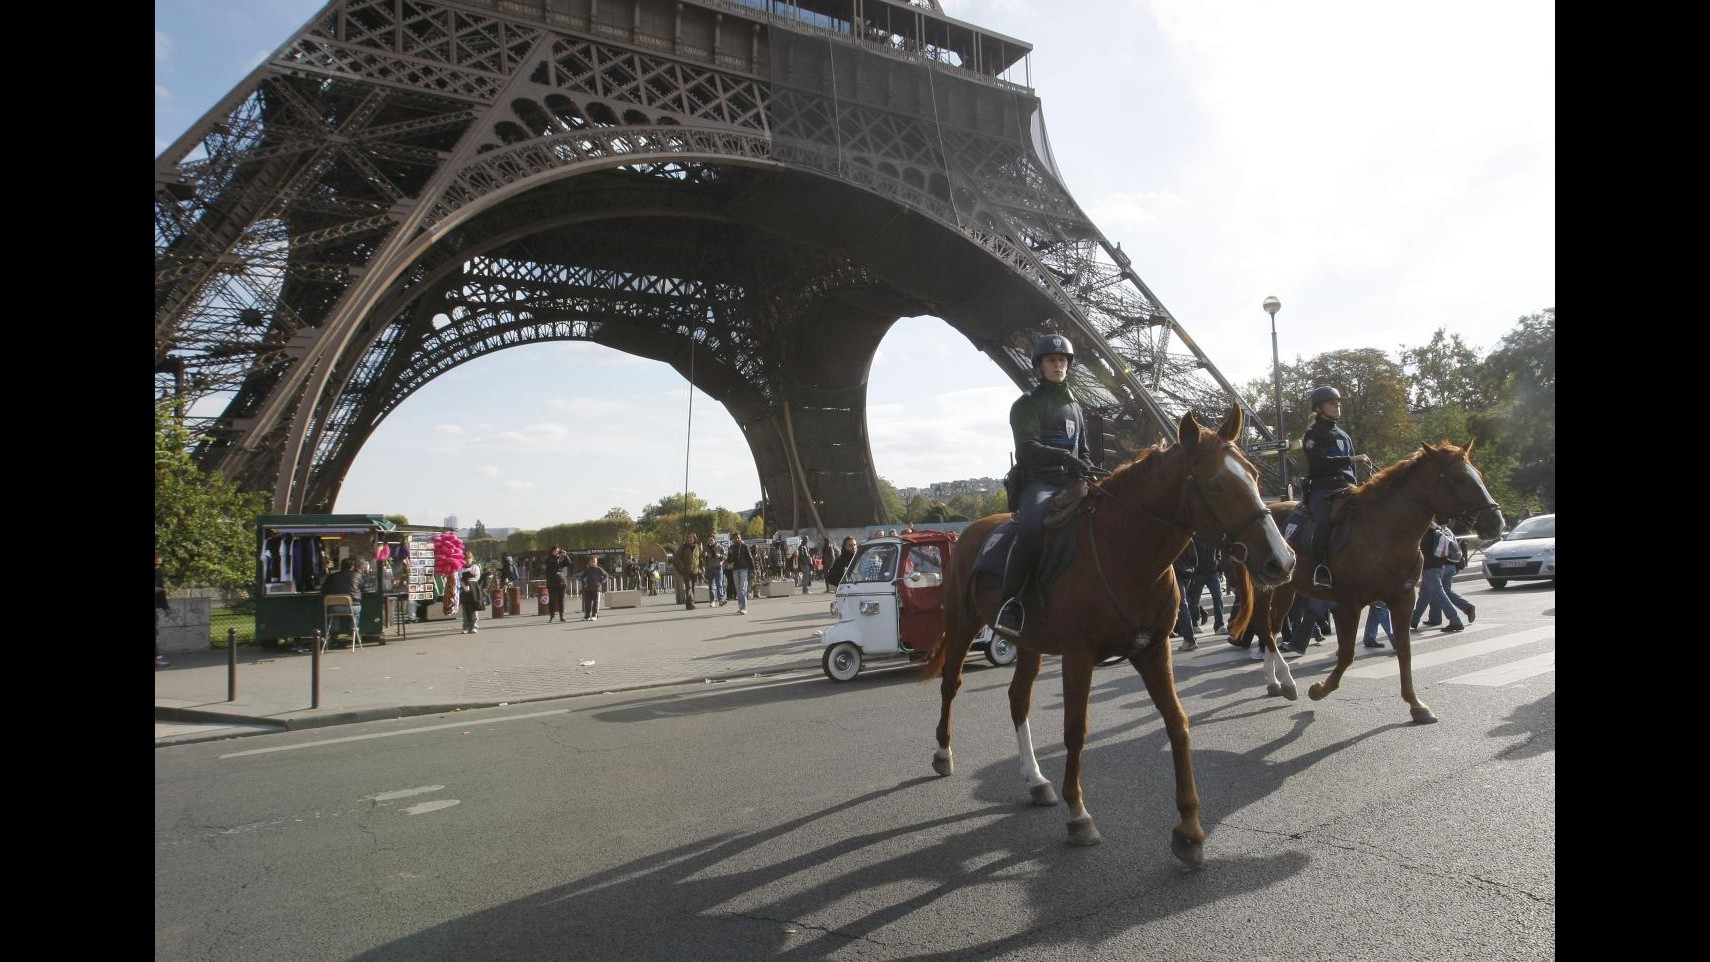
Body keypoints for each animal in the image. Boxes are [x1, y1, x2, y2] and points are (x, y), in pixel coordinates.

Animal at [923, 403, 1292, 868]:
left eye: (1255, 475)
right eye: (1215, 483)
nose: (1282, 560)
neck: (1127, 553)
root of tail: (973, 528)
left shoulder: (1153, 651)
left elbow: (1178, 723)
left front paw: (1189, 829)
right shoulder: (1079, 656)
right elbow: (1075, 729)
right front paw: (1078, 814)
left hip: (1029, 643)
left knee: (1018, 698)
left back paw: (1035, 779)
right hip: (962, 624)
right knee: (950, 683)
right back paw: (943, 753)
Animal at [1244, 440, 1511, 717]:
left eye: (1478, 475)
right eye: (1458, 479)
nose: (1497, 523)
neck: (1385, 532)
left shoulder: (1403, 598)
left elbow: (1404, 649)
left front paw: (1416, 704)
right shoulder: (1348, 605)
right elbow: (1347, 653)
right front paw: (1320, 689)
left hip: (1286, 590)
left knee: (1273, 628)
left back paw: (1277, 682)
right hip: (1265, 588)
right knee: (1264, 628)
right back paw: (1279, 681)